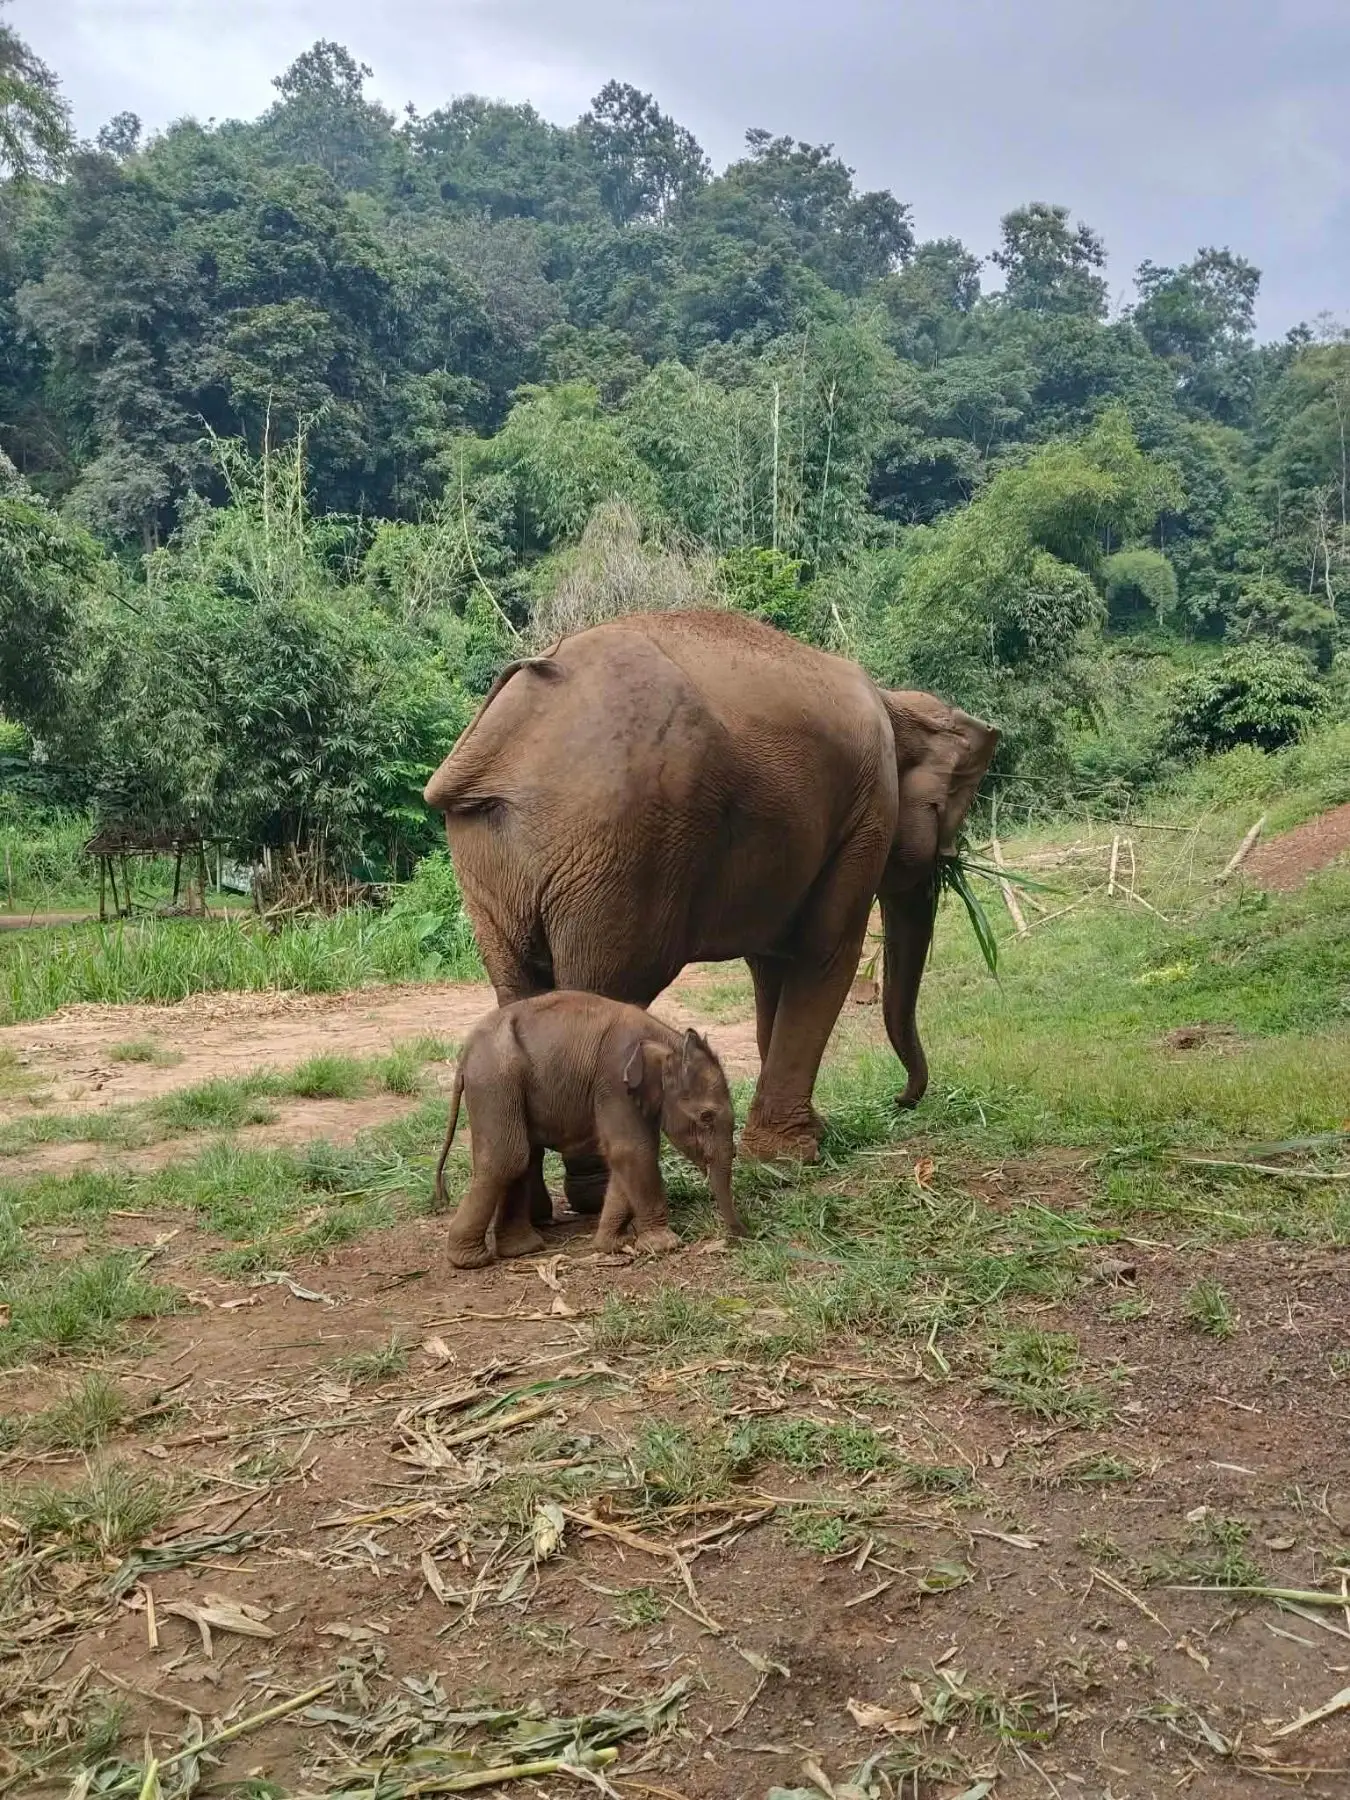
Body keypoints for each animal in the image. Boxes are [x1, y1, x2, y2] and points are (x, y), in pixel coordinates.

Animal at [424, 608, 998, 1204]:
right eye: (947, 810)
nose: (902, 1101)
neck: (894, 701)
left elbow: (773, 966)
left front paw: (799, 1138)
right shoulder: (869, 809)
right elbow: (825, 952)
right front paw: (795, 1156)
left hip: (490, 864)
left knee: (517, 990)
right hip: (621, 854)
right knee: (609, 989)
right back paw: (600, 1195)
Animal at [431, 991, 740, 1268]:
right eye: (706, 1117)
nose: (738, 1238)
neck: (667, 1039)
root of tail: (464, 1055)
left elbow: (629, 1154)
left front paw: (612, 1244)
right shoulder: (614, 1082)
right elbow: (633, 1150)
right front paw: (665, 1245)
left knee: (524, 1157)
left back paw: (521, 1250)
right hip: (495, 1081)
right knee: (508, 1158)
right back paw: (470, 1260)